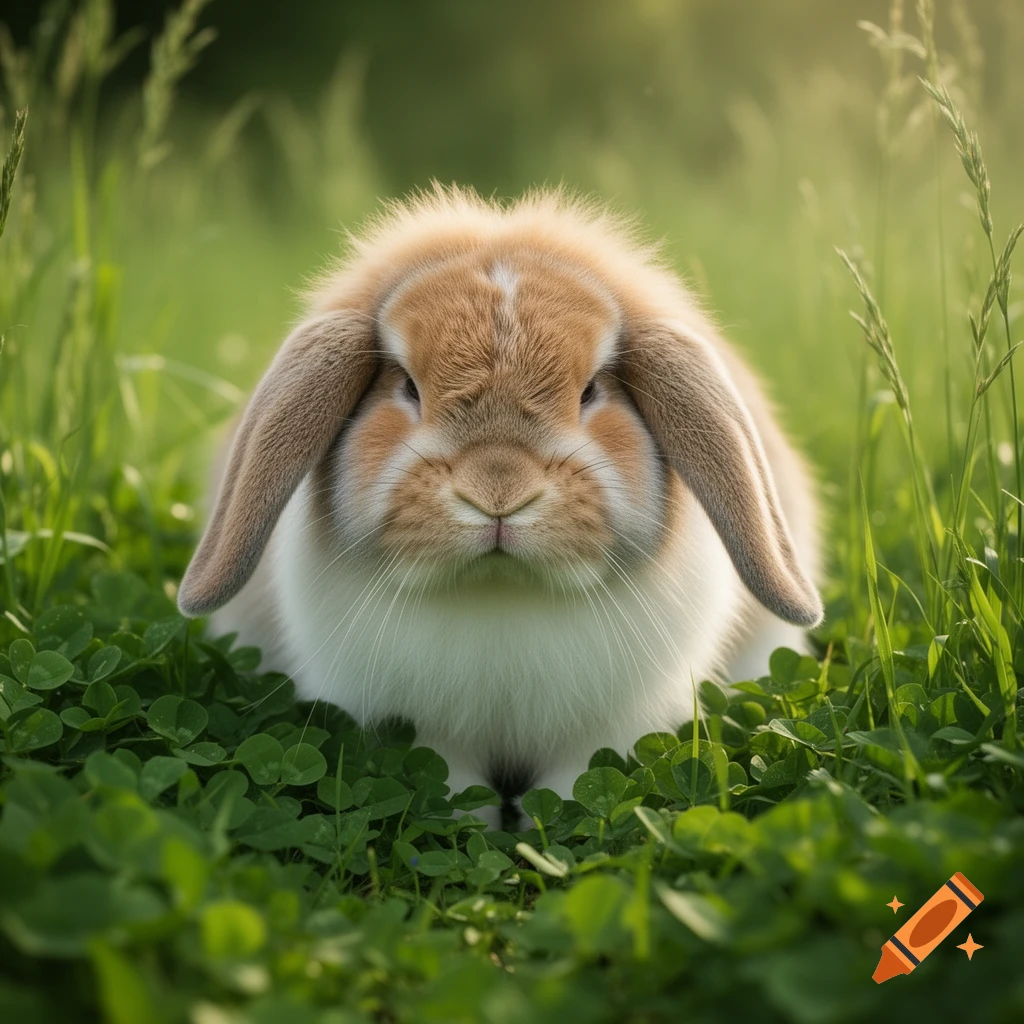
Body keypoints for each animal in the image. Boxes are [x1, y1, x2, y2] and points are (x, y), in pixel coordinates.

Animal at [177, 185, 823, 827]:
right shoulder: (431, 736)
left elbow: (575, 788)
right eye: (406, 386)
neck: (501, 592)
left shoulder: (602, 734)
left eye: (592, 390)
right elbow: (453, 789)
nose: (498, 493)